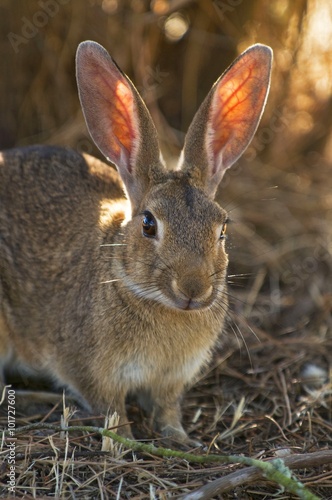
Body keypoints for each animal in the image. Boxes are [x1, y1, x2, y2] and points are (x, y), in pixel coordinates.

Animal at [0, 40, 272, 446]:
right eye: (148, 225)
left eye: (222, 228)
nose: (193, 289)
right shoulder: (94, 374)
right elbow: (113, 411)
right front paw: (122, 444)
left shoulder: (170, 382)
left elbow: (167, 409)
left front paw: (180, 438)